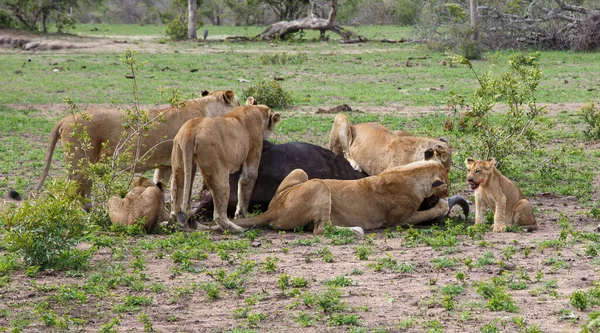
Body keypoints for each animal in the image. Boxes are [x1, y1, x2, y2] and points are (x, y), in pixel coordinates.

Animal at [36, 89, 239, 197]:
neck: (209, 109)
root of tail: (64, 119)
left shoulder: (165, 164)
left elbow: (160, 185)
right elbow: (184, 188)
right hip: (80, 162)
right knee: (71, 189)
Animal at [234, 160, 450, 233]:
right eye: (447, 184)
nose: (448, 191)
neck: (412, 172)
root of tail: (273, 209)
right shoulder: (398, 220)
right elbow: (428, 213)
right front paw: (443, 204)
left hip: (300, 172)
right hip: (319, 185)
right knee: (321, 229)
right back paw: (356, 229)